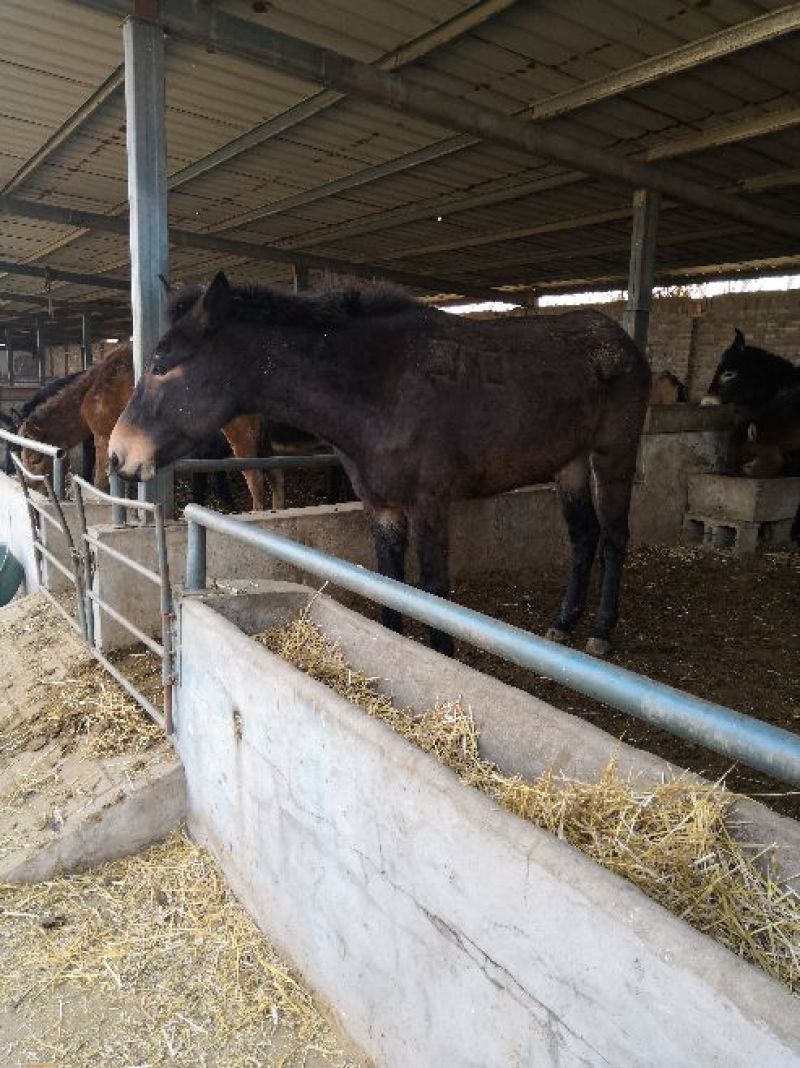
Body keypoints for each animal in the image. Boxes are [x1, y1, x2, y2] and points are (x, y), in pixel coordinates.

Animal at [109, 272, 651, 656]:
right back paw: (563, 624)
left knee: (615, 536)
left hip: (613, 455)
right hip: (571, 464)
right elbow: (391, 587)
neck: (380, 384)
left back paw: (601, 632)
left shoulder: (430, 501)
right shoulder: (383, 505)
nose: (118, 455)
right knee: (583, 536)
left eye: (161, 364)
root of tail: (624, 344)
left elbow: (433, 591)